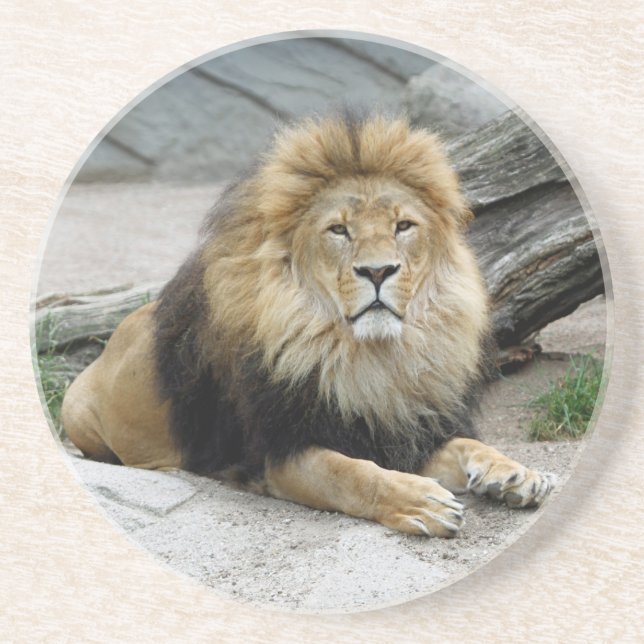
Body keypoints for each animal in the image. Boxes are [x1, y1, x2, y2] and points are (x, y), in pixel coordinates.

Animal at [62, 113, 554, 537]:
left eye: (403, 226)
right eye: (339, 230)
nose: (378, 271)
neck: (372, 358)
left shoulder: (400, 429)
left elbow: (467, 445)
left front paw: (514, 473)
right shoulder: (277, 453)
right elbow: (352, 474)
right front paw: (421, 501)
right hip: (76, 411)